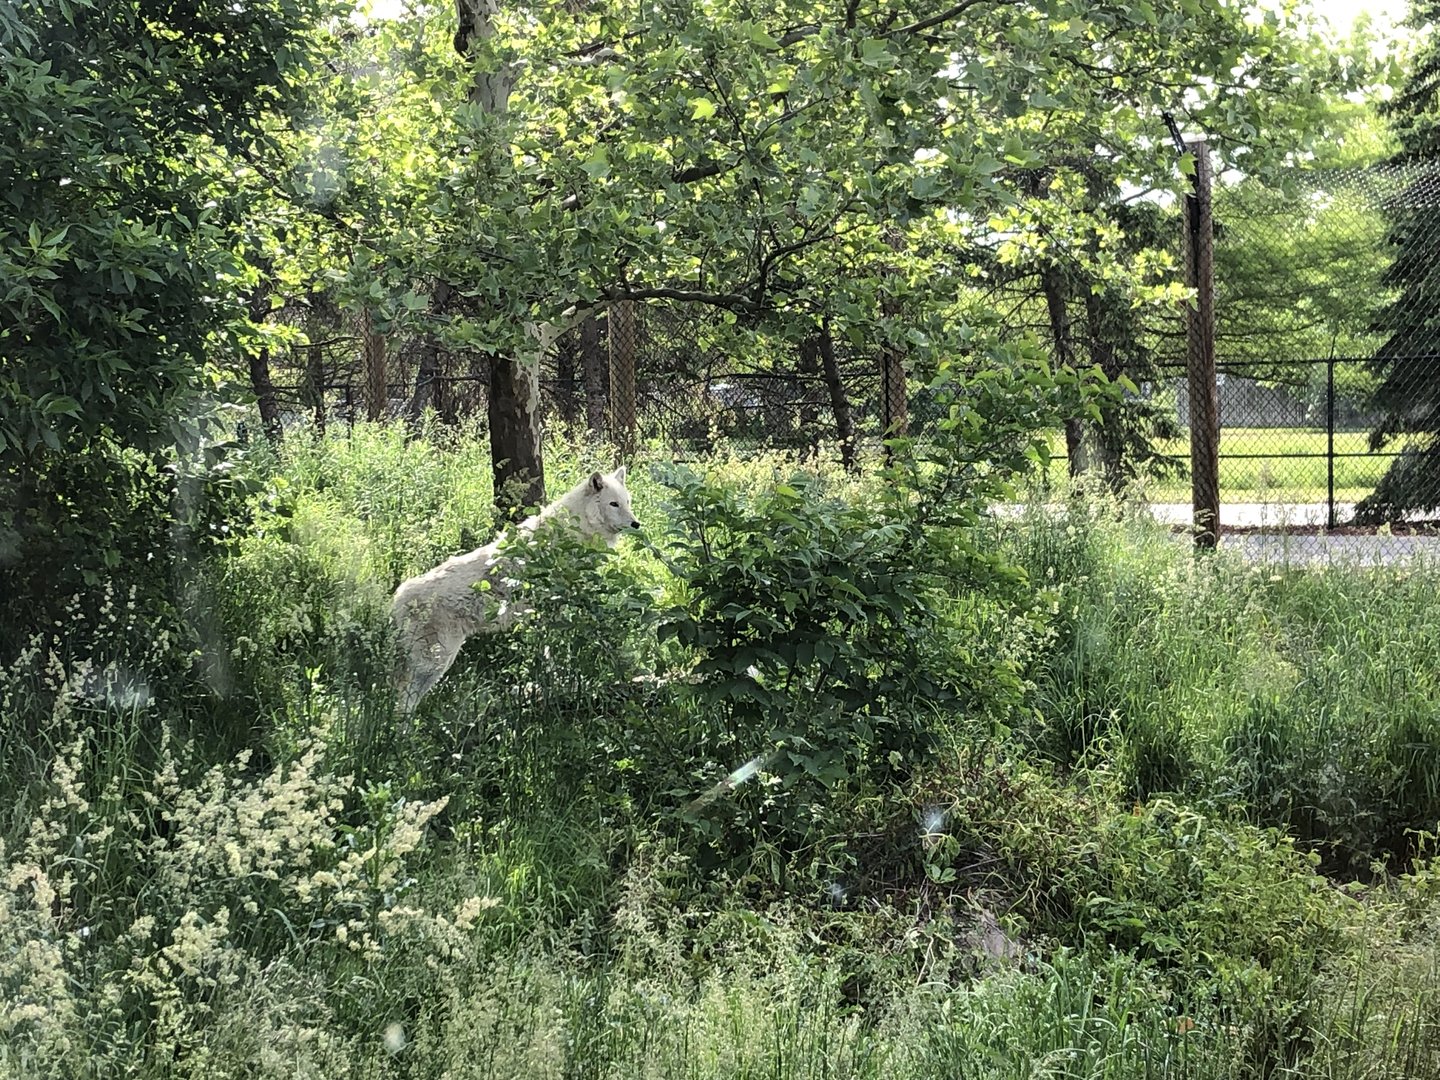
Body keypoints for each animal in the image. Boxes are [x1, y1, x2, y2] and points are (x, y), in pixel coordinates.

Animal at [390, 466, 640, 713]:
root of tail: (398, 597)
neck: (575, 528)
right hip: (434, 662)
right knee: (403, 699)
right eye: (613, 504)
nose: (636, 524)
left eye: (627, 501)